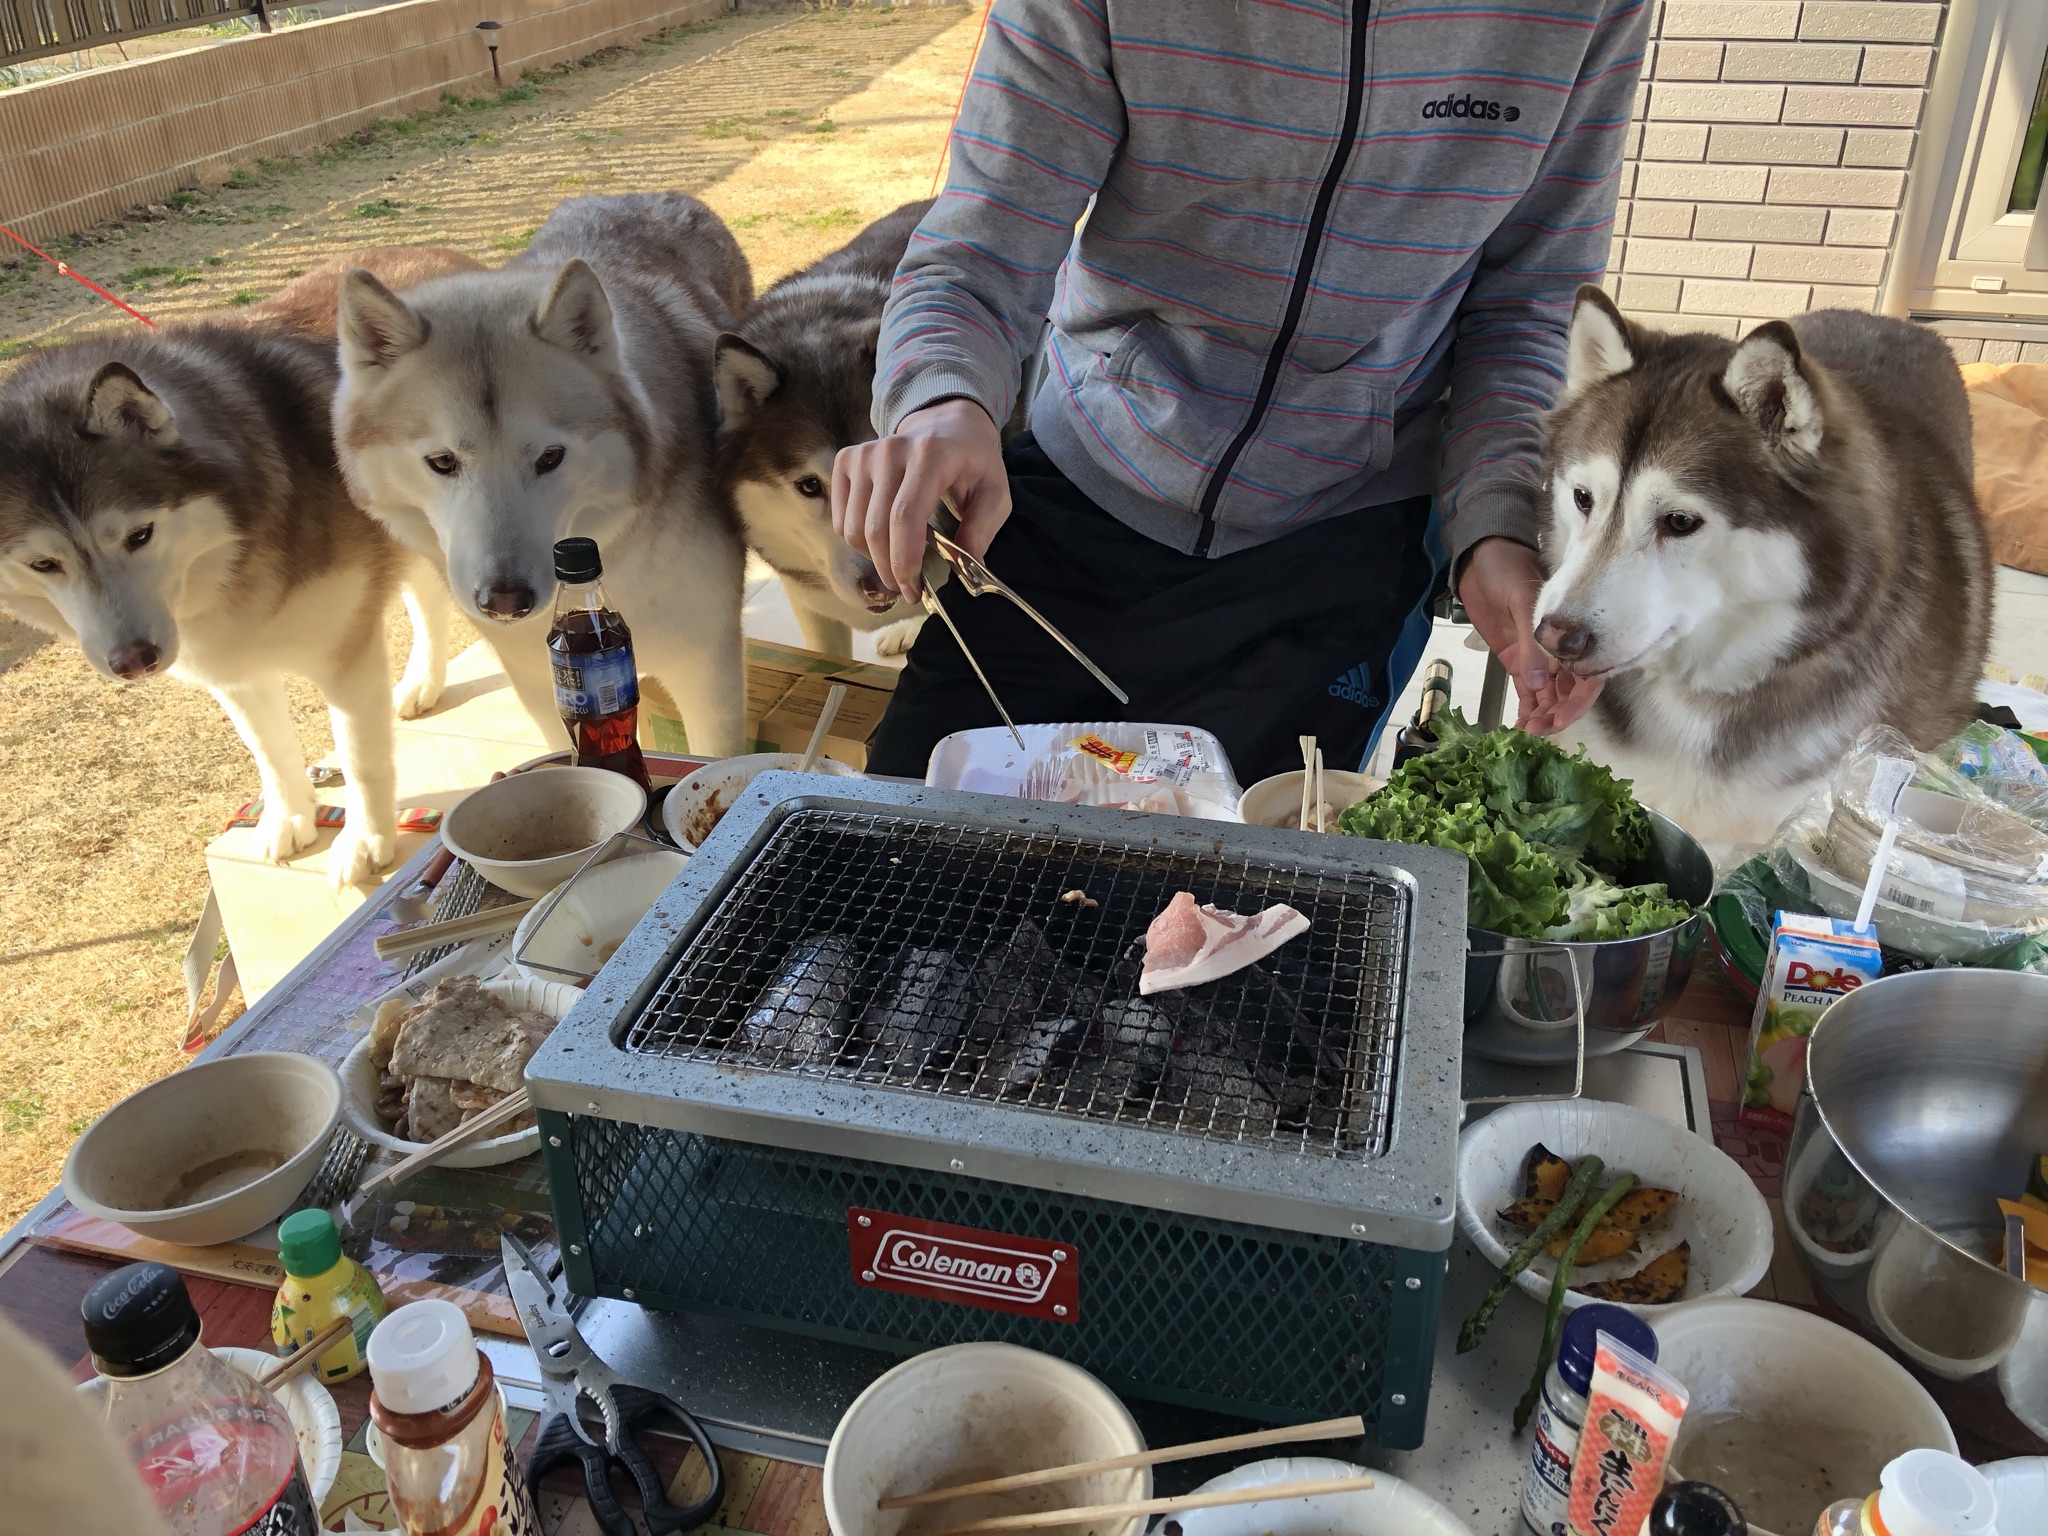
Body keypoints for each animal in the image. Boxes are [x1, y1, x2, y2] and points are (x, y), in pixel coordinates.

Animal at [0, 324, 450, 885]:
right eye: (43, 564)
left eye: (140, 535)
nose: (134, 661)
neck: (228, 560)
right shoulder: (233, 666)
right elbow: (267, 748)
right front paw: (290, 816)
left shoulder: (347, 654)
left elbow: (359, 755)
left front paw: (364, 841)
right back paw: (421, 684)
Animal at [335, 193, 755, 757]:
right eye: (442, 462)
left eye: (550, 458)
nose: (505, 602)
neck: (615, 568)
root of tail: (638, 195)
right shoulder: (537, 685)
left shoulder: (709, 672)